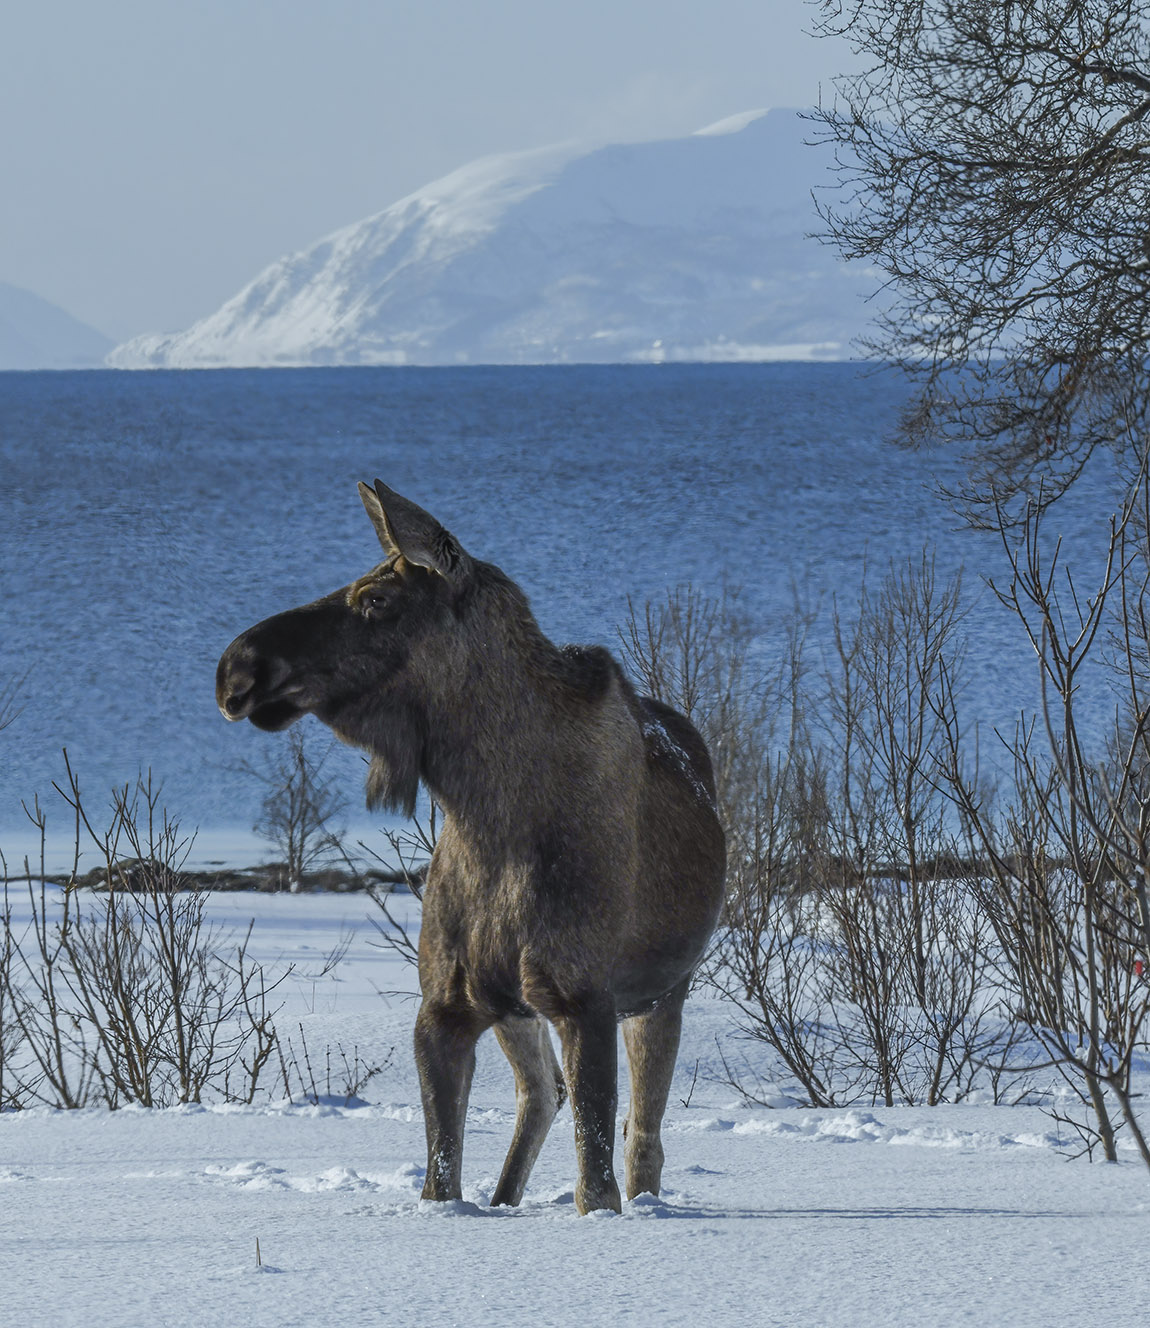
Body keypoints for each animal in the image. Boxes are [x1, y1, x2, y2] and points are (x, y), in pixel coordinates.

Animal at [212, 486, 727, 1216]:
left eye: (376, 599)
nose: (237, 667)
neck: (488, 816)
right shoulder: (445, 1007)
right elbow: (440, 1178)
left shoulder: (584, 999)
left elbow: (595, 1185)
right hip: (515, 1006)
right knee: (540, 1096)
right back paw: (506, 1199)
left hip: (660, 996)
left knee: (642, 1139)